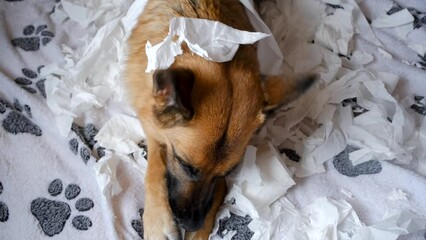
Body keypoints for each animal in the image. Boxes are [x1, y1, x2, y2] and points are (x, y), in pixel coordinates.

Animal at [125, 0, 314, 239]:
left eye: (227, 172)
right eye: (185, 165)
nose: (191, 224)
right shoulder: (152, 125)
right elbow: (156, 165)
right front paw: (158, 220)